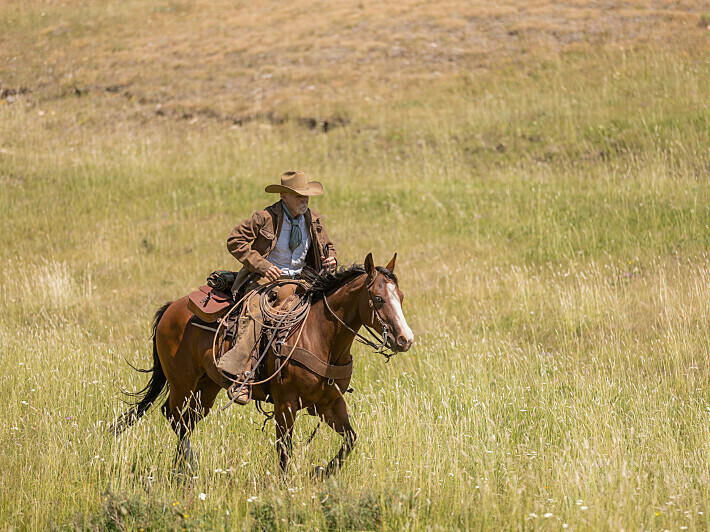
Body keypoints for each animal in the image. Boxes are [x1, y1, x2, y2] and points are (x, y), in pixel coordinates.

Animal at [112, 254, 418, 478]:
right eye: (378, 298)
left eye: (401, 297)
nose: (405, 339)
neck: (321, 336)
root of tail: (172, 308)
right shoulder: (286, 405)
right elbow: (284, 450)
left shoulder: (330, 403)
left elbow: (350, 440)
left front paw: (321, 471)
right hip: (182, 384)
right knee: (173, 415)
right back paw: (189, 466)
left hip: (206, 389)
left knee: (186, 422)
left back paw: (184, 470)